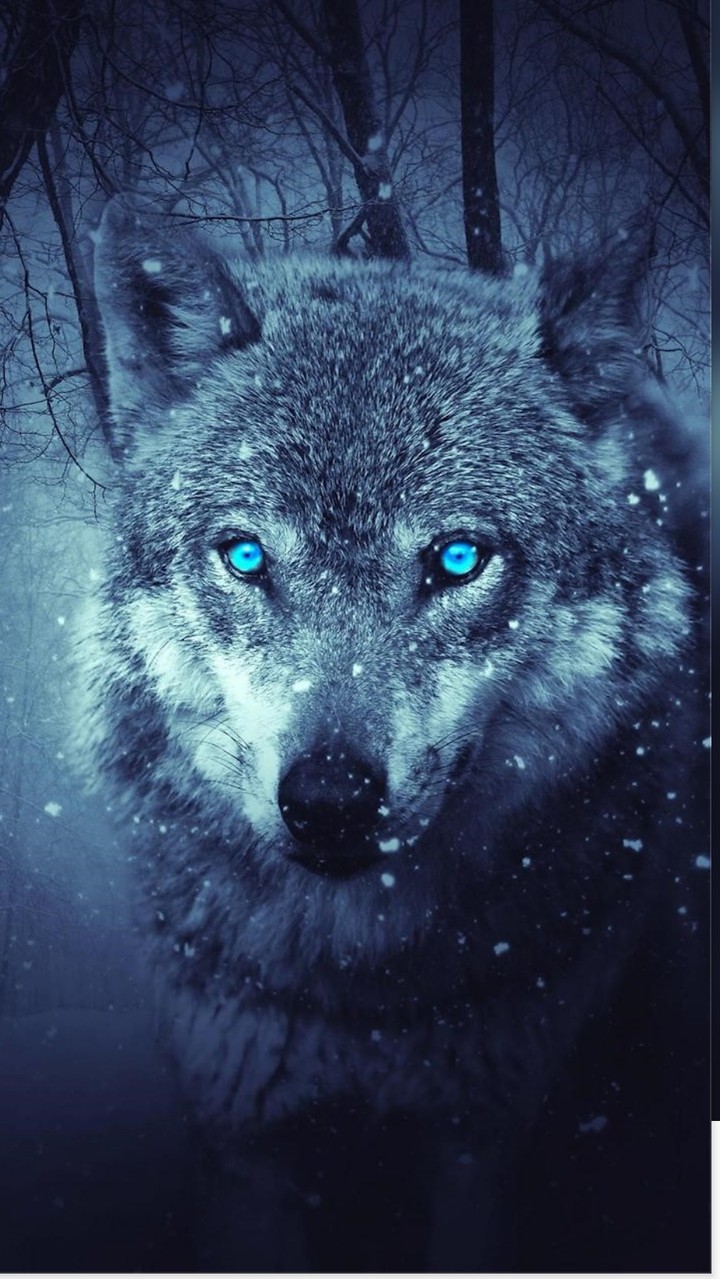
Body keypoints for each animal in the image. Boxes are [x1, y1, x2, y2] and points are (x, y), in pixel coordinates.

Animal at [83, 199, 708, 1271]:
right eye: (245, 557)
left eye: (457, 558)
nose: (330, 800)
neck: (361, 993)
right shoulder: (246, 1142)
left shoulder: (480, 1141)